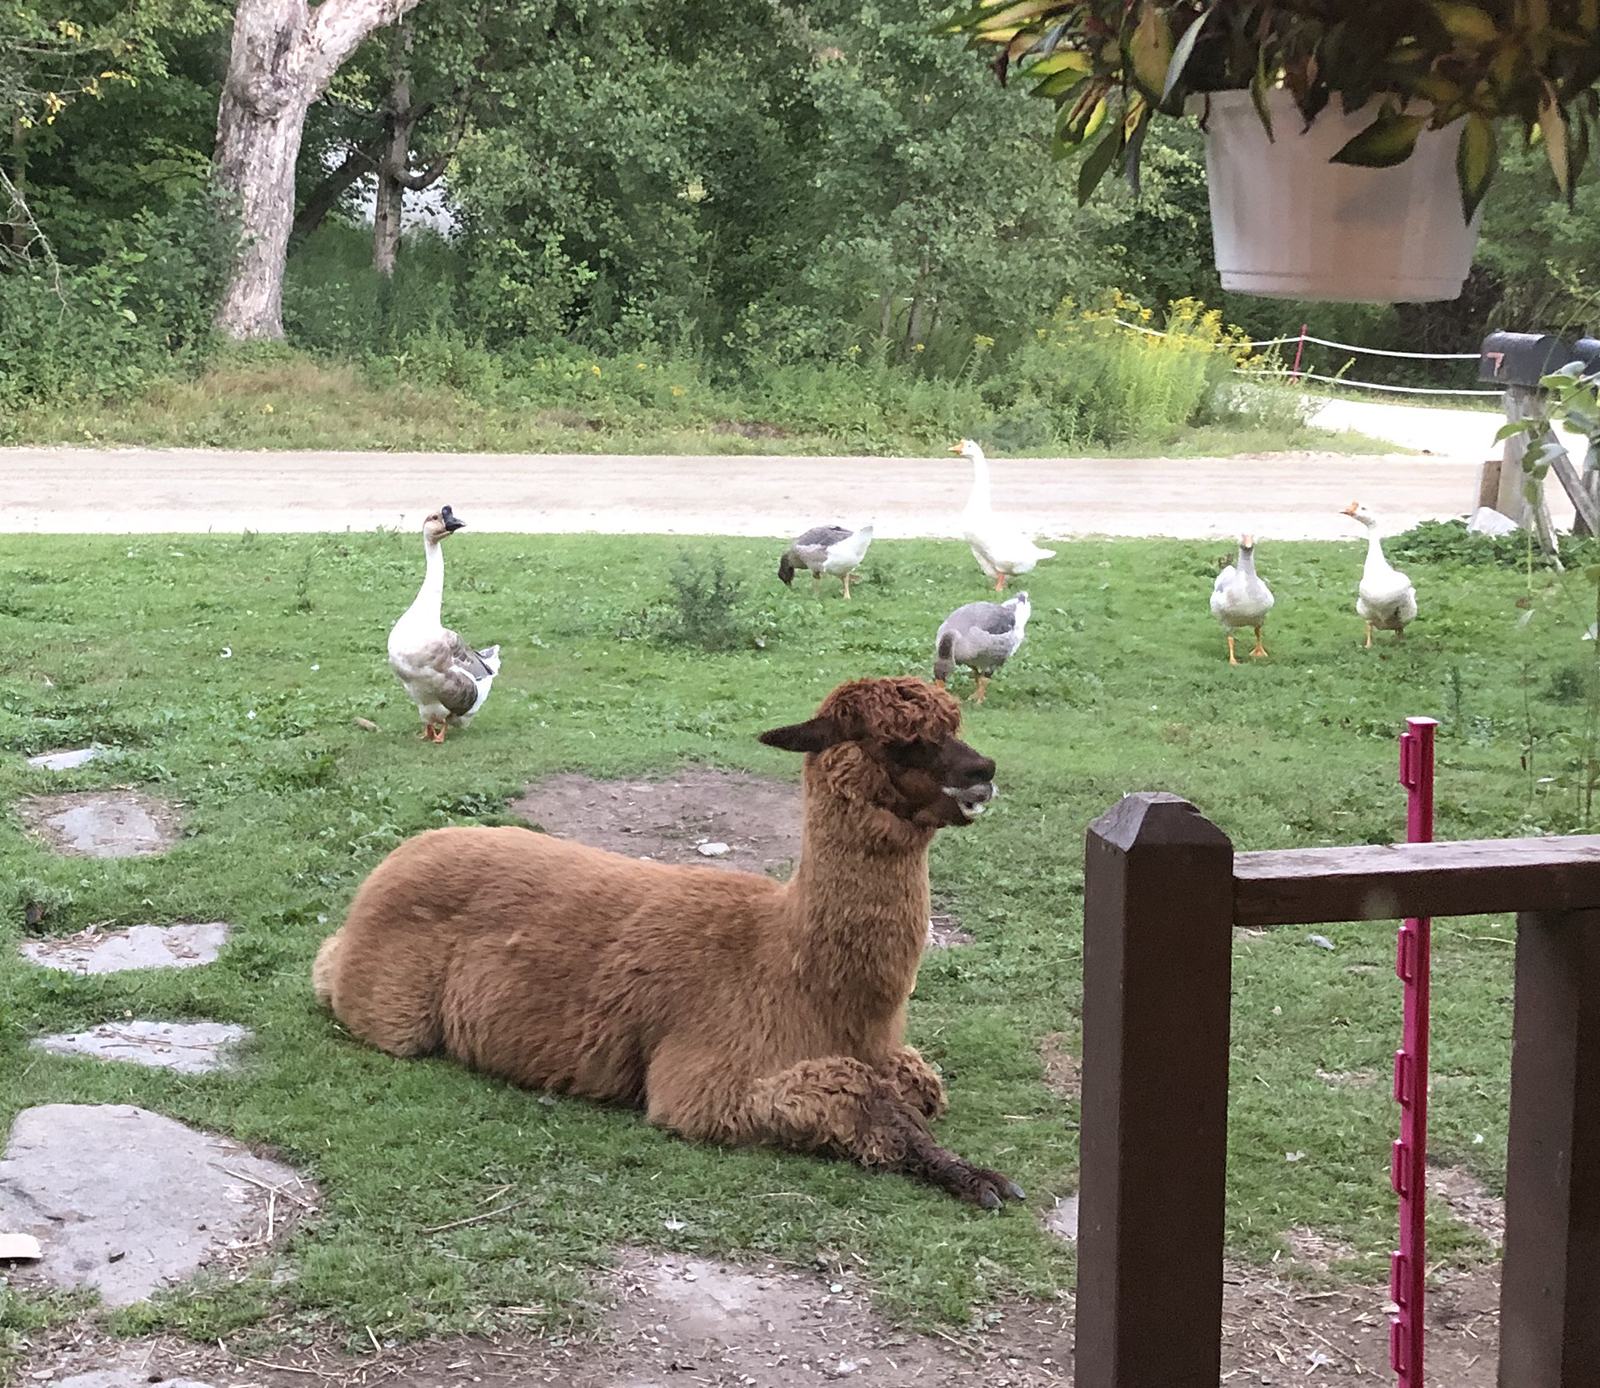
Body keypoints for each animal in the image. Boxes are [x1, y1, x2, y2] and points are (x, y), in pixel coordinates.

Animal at [313, 676, 1025, 1209]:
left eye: (953, 723)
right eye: (898, 742)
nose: (984, 768)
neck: (798, 971)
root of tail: (395, 859)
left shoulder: (888, 1053)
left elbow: (916, 1088)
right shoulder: (707, 1084)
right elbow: (862, 1097)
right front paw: (976, 1177)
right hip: (392, 1009)